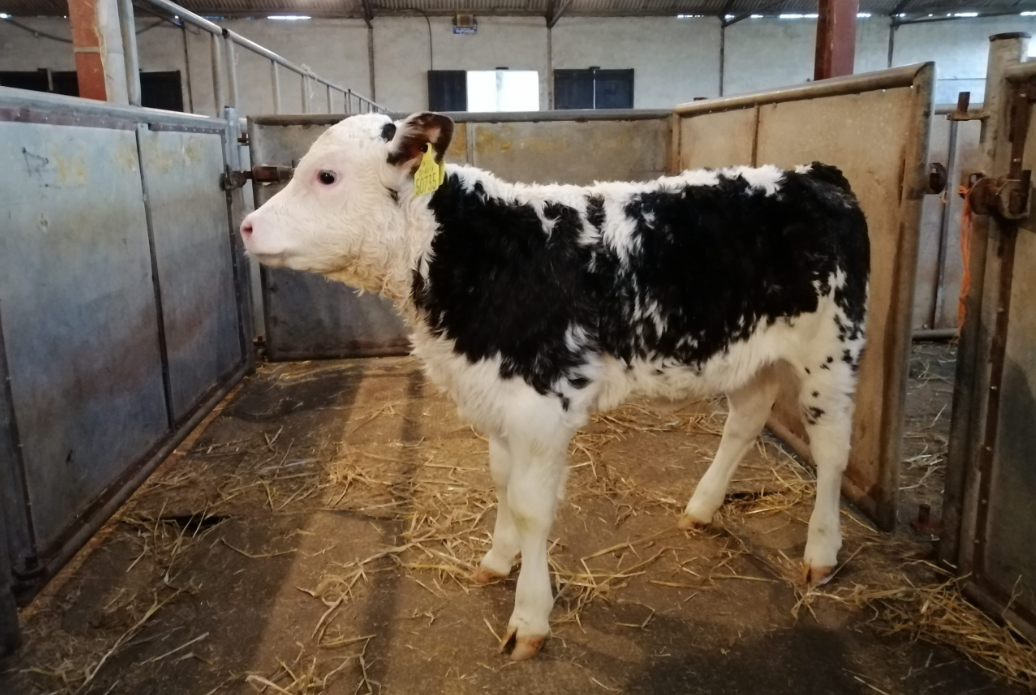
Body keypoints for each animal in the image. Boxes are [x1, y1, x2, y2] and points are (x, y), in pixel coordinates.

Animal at [239, 111, 869, 660]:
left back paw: (820, 550)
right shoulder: (495, 398)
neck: (480, 254)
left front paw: (529, 617)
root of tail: (813, 173)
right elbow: (501, 483)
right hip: (753, 352)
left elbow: (530, 506)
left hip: (830, 351)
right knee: (747, 417)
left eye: (326, 176)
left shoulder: (541, 405)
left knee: (833, 450)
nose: (246, 227)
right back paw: (702, 506)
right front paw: (498, 558)